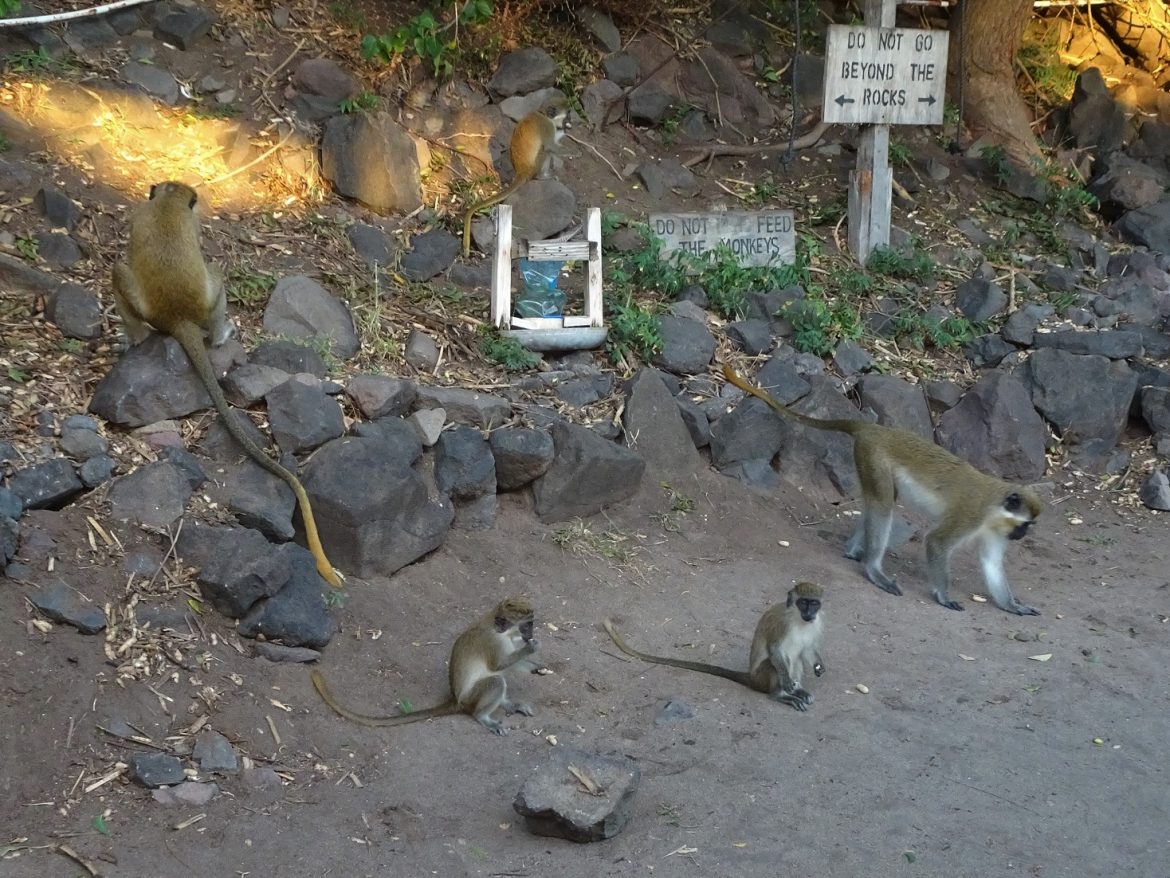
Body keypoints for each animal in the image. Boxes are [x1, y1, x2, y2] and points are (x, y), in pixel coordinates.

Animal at [110, 181, 342, 588]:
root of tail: (178, 316)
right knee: (204, 273)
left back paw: (138, 338)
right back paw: (214, 336)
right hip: (202, 303)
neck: (168, 203)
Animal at [311, 596, 540, 735]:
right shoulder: (492, 641)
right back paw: (483, 716)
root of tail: (456, 701)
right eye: (527, 625)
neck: (499, 629)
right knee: (496, 681)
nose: (531, 634)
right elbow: (498, 665)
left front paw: (537, 666)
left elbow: (510, 665)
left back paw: (507, 704)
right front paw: (532, 648)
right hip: (471, 699)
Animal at [461, 94, 571, 257]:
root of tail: (521, 171)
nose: (570, 121)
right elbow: (551, 146)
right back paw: (542, 176)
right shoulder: (547, 127)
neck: (544, 114)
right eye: (568, 114)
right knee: (545, 150)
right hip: (533, 167)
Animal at [603, 582, 825, 712]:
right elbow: (774, 650)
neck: (799, 620)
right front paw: (786, 683)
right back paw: (781, 695)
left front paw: (819, 666)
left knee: (796, 659)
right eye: (803, 602)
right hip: (760, 678)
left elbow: (807, 650)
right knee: (774, 665)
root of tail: (751, 678)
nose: (809, 613)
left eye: (814, 603)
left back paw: (797, 690)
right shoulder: (781, 624)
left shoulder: (816, 623)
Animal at [721, 364, 1043, 616]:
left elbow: (991, 563)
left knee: (876, 502)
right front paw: (944, 596)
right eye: (1026, 524)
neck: (995, 507)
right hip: (872, 457)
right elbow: (937, 542)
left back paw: (853, 551)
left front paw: (1012, 605)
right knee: (883, 505)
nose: (1022, 535)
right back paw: (873, 569)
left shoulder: (993, 529)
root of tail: (875, 430)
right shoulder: (971, 513)